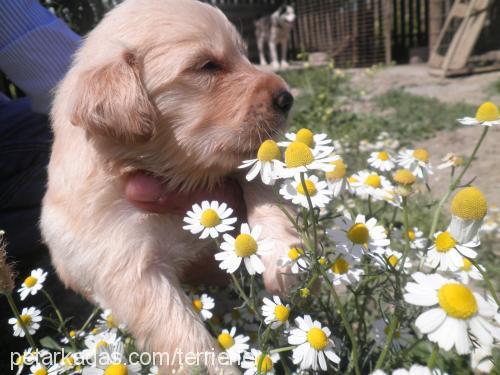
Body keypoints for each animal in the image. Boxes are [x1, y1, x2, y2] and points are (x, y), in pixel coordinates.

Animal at [42, 0, 296, 372]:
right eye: (207, 66)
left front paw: (284, 257)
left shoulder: (232, 159)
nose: (287, 98)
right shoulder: (132, 271)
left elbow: (261, 184)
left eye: (244, 55)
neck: (171, 172)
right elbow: (187, 338)